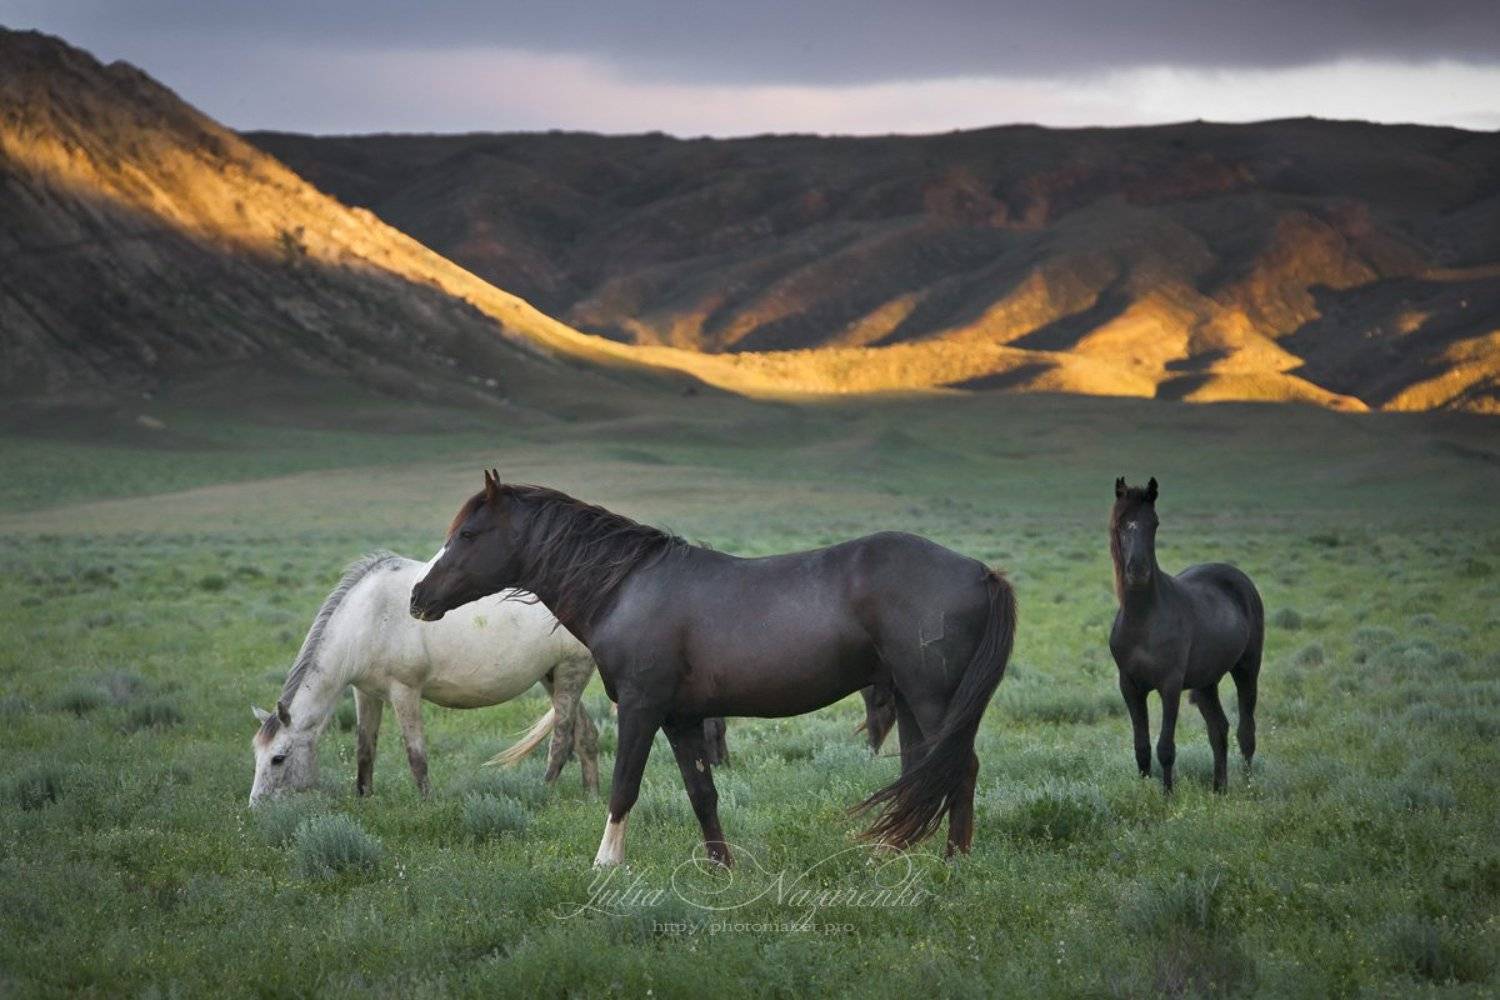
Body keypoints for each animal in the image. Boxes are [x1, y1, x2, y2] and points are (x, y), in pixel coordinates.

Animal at [249, 552, 601, 806]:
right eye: (256, 755)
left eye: (278, 758)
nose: (256, 808)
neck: (369, 618)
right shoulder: (366, 694)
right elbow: (365, 750)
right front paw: (364, 799)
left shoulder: (405, 692)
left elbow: (416, 755)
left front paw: (427, 804)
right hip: (552, 676)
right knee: (586, 735)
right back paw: (591, 796)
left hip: (571, 672)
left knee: (562, 739)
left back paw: (546, 793)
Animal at [409, 470, 1016, 867]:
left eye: (468, 535)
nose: (418, 597)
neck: (625, 588)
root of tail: (980, 571)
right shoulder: (681, 718)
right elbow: (702, 794)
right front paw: (721, 868)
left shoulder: (641, 708)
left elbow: (623, 787)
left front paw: (605, 866)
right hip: (911, 700)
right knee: (921, 772)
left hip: (934, 699)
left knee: (959, 768)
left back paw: (954, 866)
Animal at [1108, 478, 1264, 793]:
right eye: (1122, 523)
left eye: (1154, 522)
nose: (1138, 570)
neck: (1143, 622)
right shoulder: (1130, 686)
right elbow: (1142, 747)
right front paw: (1145, 793)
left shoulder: (1170, 685)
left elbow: (1165, 747)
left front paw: (1168, 796)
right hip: (1206, 683)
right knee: (1219, 728)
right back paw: (1219, 789)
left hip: (1247, 669)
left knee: (1246, 731)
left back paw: (1248, 787)